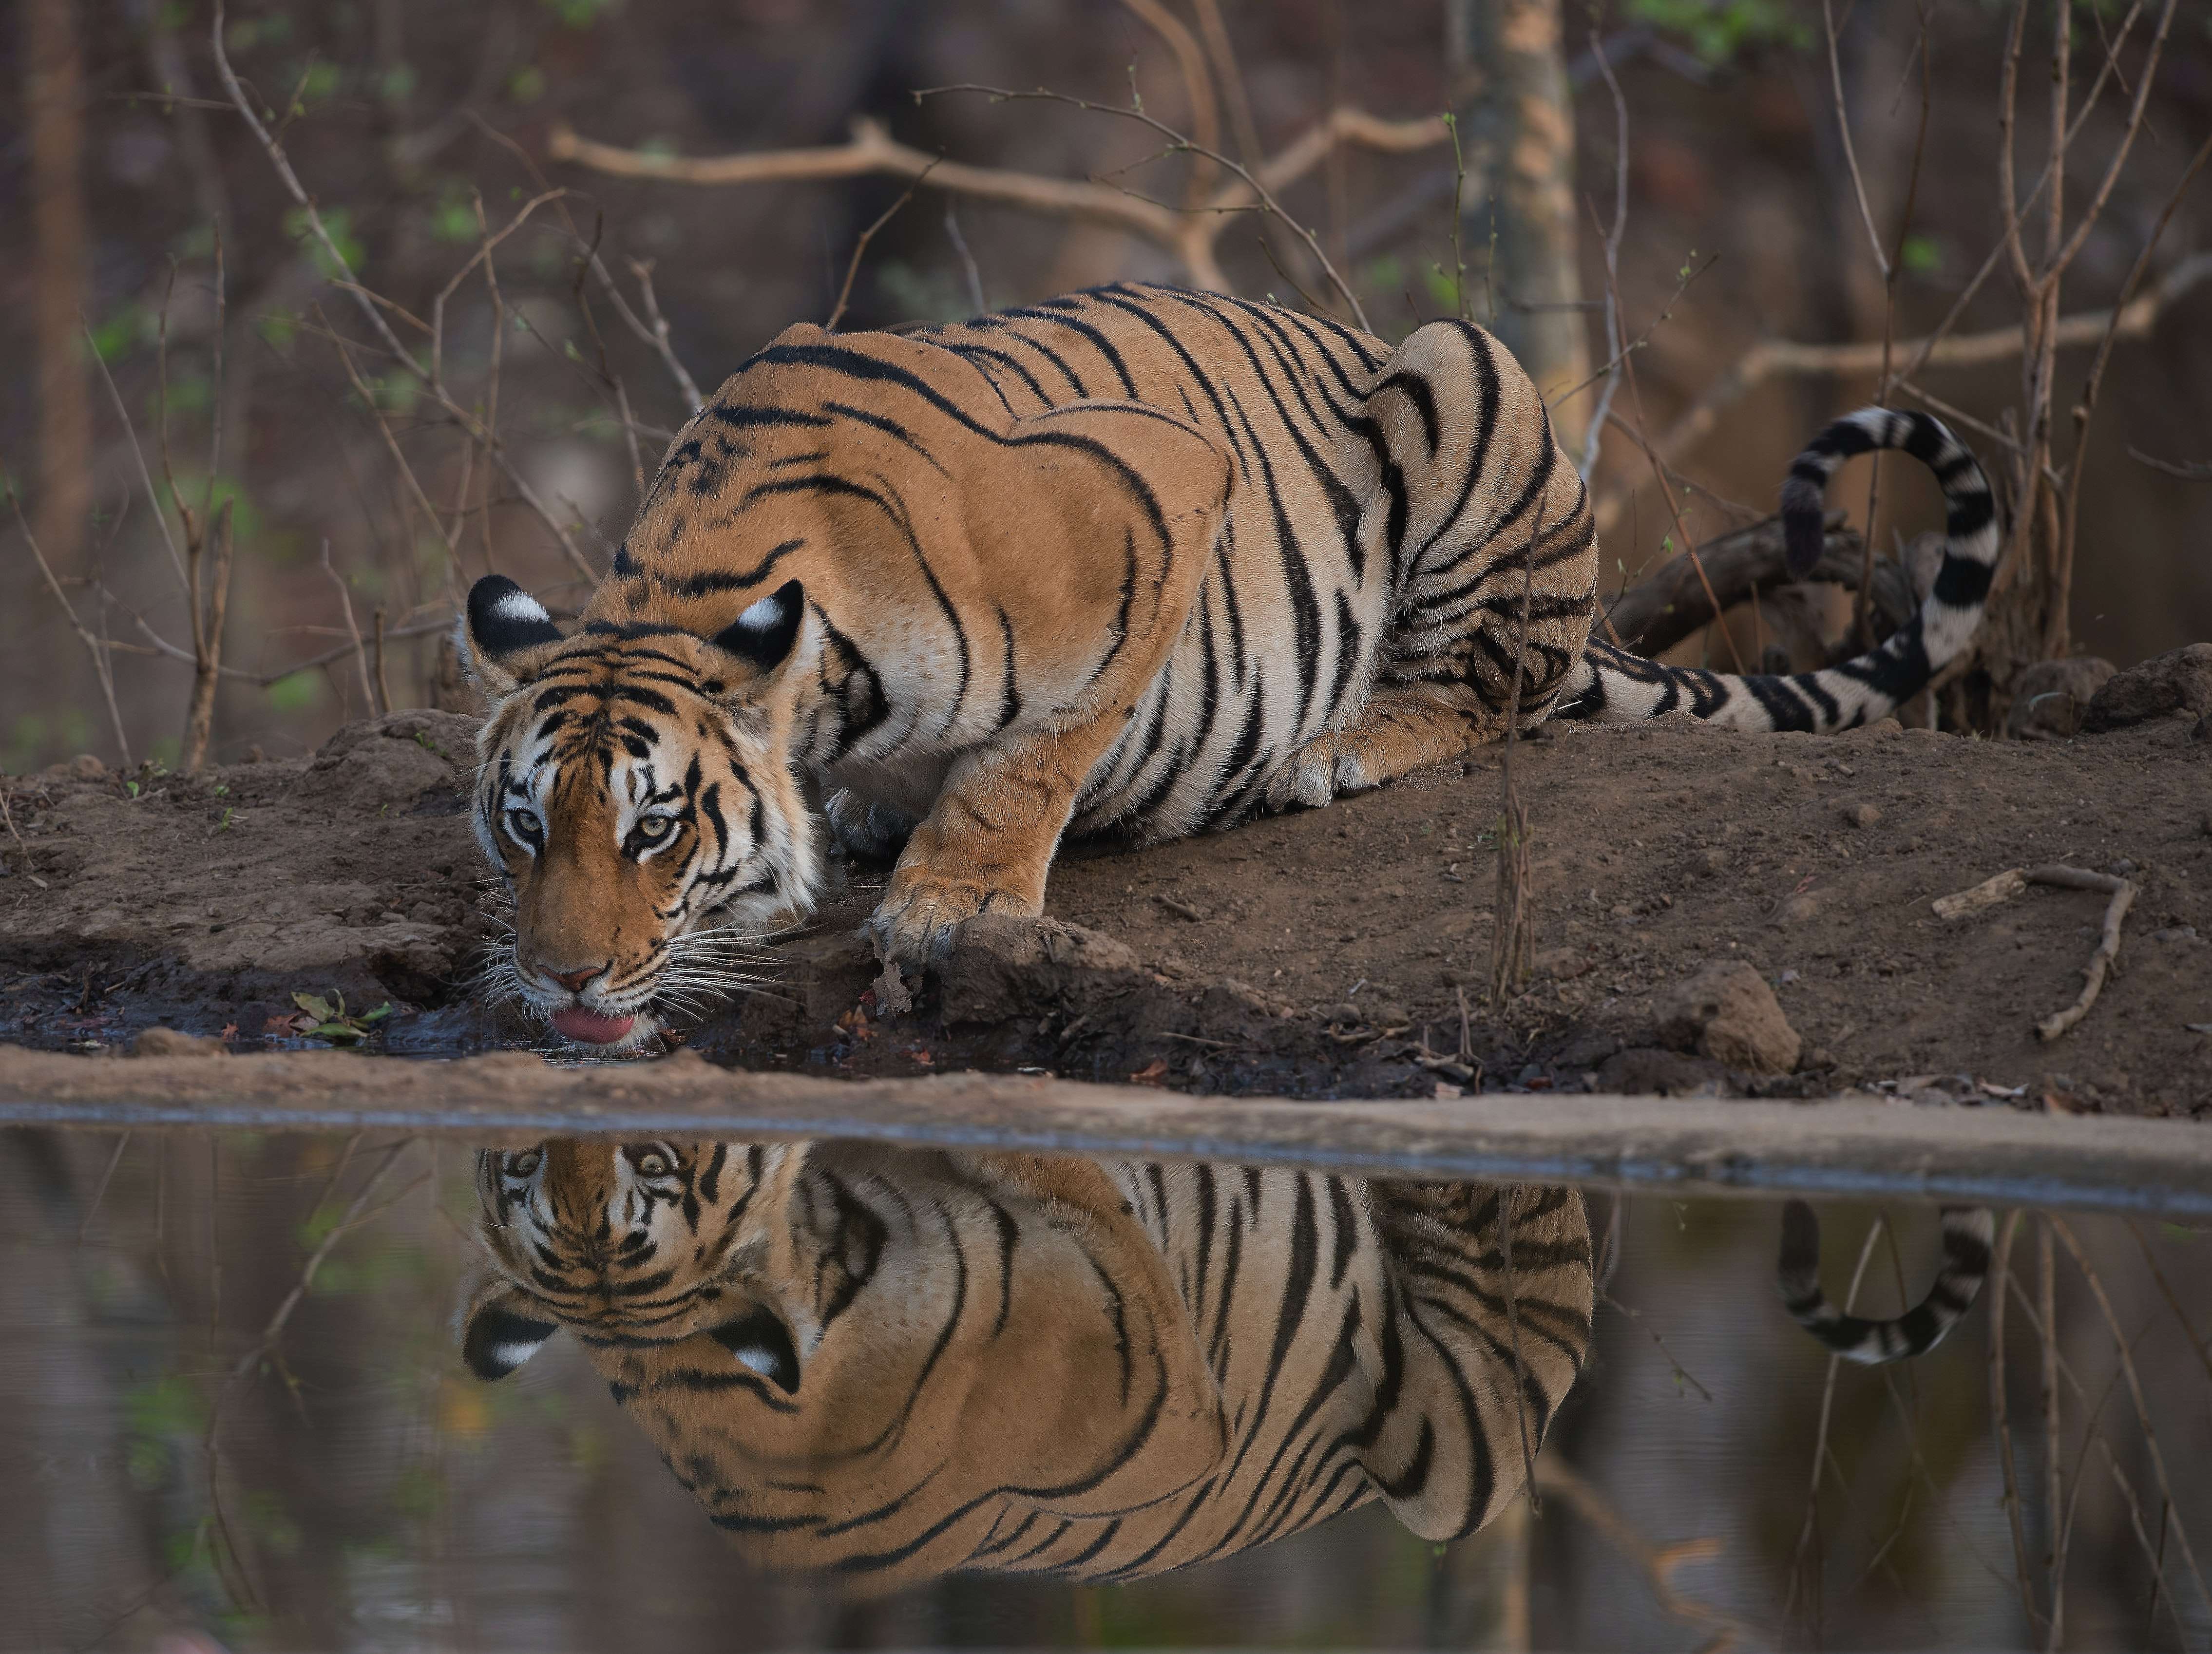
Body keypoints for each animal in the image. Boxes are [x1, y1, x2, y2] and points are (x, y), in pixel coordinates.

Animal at [457, 281, 1999, 1046]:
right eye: (525, 826)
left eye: (656, 829)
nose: (562, 983)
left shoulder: (1153, 495)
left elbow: (1032, 759)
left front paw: (951, 903)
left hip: (1462, 374)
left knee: (1494, 689)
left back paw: (1342, 746)